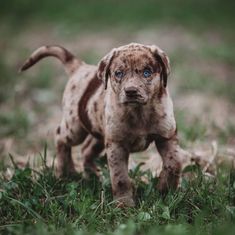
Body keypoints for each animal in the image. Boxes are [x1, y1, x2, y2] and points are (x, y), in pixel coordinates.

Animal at [19, 43, 185, 207]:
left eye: (146, 72)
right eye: (119, 73)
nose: (131, 91)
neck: (139, 112)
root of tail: (80, 67)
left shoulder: (167, 136)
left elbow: (174, 163)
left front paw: (165, 189)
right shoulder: (116, 145)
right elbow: (120, 178)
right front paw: (124, 205)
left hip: (98, 132)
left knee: (86, 150)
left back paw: (92, 176)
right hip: (75, 127)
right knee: (61, 137)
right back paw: (65, 172)